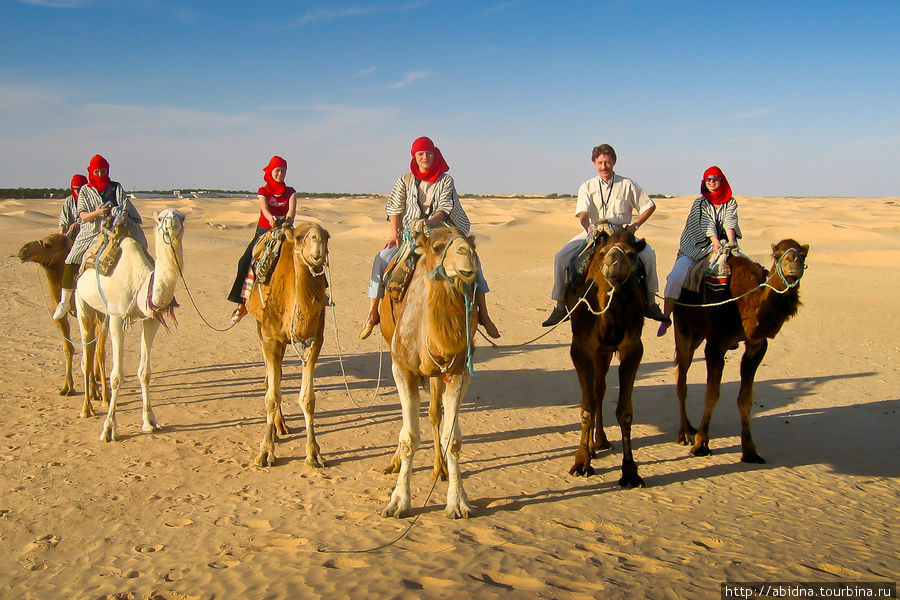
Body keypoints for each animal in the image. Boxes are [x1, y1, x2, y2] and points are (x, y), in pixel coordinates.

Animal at [16, 231, 108, 412]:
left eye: (48, 244)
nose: (23, 250)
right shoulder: (59, 318)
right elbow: (68, 349)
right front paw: (67, 387)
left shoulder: (89, 314)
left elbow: (90, 348)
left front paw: (94, 391)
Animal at [75, 210, 186, 440]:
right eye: (160, 218)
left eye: (182, 217)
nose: (171, 220)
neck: (140, 282)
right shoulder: (118, 317)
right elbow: (117, 376)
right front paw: (109, 428)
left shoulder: (151, 320)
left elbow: (145, 372)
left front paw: (150, 421)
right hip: (81, 301)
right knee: (85, 357)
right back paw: (86, 409)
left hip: (103, 313)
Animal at [246, 220, 330, 468]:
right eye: (301, 237)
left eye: (327, 236)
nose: (318, 244)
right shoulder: (271, 338)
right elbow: (272, 397)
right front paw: (265, 453)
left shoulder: (315, 340)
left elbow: (308, 399)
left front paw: (313, 453)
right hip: (260, 325)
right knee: (271, 381)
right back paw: (276, 429)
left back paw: (280, 426)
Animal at [568, 230, 648, 488]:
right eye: (602, 253)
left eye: (631, 254)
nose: (611, 265)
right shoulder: (580, 349)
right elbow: (586, 407)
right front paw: (581, 462)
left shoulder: (633, 348)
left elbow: (625, 412)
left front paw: (630, 471)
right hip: (598, 352)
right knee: (595, 392)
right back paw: (592, 448)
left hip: (604, 353)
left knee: (599, 389)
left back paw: (600, 441)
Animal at [672, 237, 812, 462]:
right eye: (777, 255)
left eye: (803, 254)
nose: (793, 263)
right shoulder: (716, 343)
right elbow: (712, 395)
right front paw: (701, 445)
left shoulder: (757, 345)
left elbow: (745, 400)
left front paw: (750, 450)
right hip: (683, 324)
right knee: (681, 378)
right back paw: (684, 434)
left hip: (698, 333)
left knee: (680, 371)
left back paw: (690, 427)